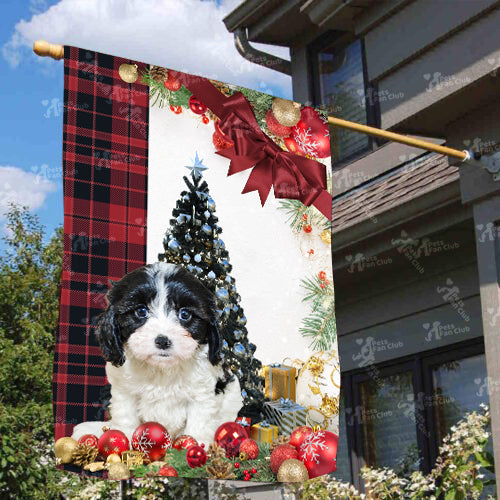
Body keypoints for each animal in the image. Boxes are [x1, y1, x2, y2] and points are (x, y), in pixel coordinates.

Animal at [72, 262, 242, 446]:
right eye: (141, 311)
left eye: (185, 314)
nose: (162, 341)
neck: (162, 369)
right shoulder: (125, 392)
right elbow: (126, 419)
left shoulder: (202, 394)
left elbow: (199, 424)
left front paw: (197, 446)